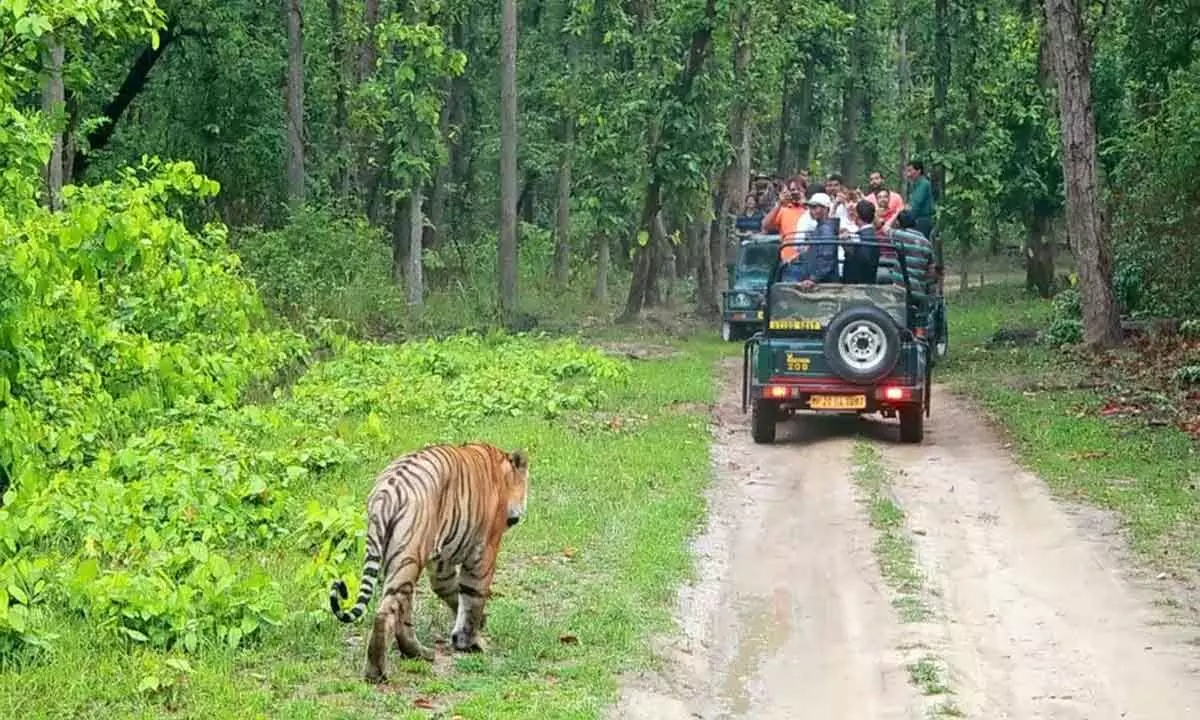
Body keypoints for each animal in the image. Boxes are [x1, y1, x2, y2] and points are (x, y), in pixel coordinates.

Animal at [329, 442, 529, 683]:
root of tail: (386, 491)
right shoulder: (484, 551)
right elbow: (473, 596)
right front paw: (470, 642)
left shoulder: (442, 561)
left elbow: (451, 590)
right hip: (410, 554)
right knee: (385, 613)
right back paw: (376, 672)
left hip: (397, 559)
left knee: (402, 610)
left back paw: (417, 653)